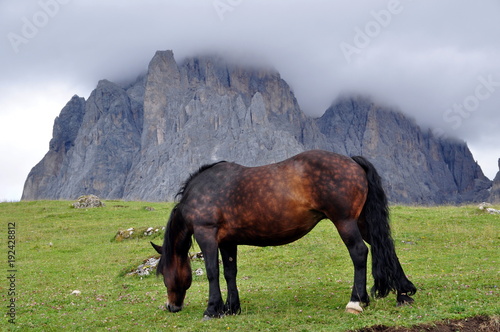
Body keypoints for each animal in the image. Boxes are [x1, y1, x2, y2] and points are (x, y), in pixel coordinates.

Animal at [150, 149, 416, 318]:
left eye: (163, 273)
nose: (171, 306)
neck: (201, 191)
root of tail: (352, 161)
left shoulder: (207, 235)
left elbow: (212, 272)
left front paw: (212, 309)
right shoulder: (227, 242)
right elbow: (229, 273)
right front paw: (231, 308)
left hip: (345, 222)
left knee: (360, 252)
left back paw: (356, 301)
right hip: (363, 222)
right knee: (385, 246)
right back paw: (404, 292)